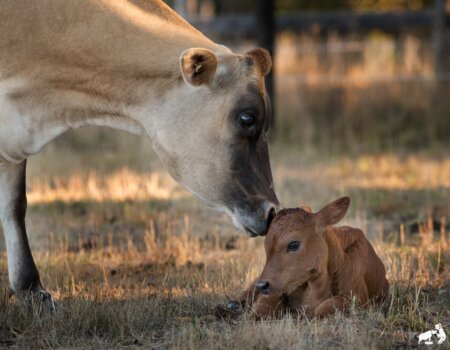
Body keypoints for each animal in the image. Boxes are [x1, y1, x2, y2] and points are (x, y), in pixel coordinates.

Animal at [237, 196, 388, 318]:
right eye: (266, 244)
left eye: (293, 244)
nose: (262, 285)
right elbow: (262, 308)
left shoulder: (358, 297)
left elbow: (325, 307)